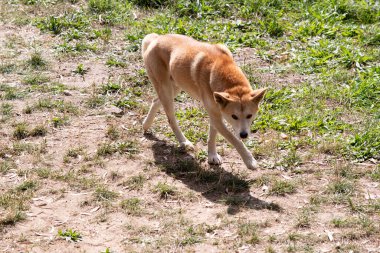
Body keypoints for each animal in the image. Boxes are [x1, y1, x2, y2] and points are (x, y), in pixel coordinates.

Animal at [141, 32, 266, 169]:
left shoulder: (215, 113)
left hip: (176, 87)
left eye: (250, 115)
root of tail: (157, 38)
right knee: (171, 119)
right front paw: (249, 160)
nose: (244, 135)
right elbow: (234, 139)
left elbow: (212, 136)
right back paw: (183, 142)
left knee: (155, 101)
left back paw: (146, 124)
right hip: (166, 90)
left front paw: (212, 156)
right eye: (234, 116)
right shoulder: (217, 117)